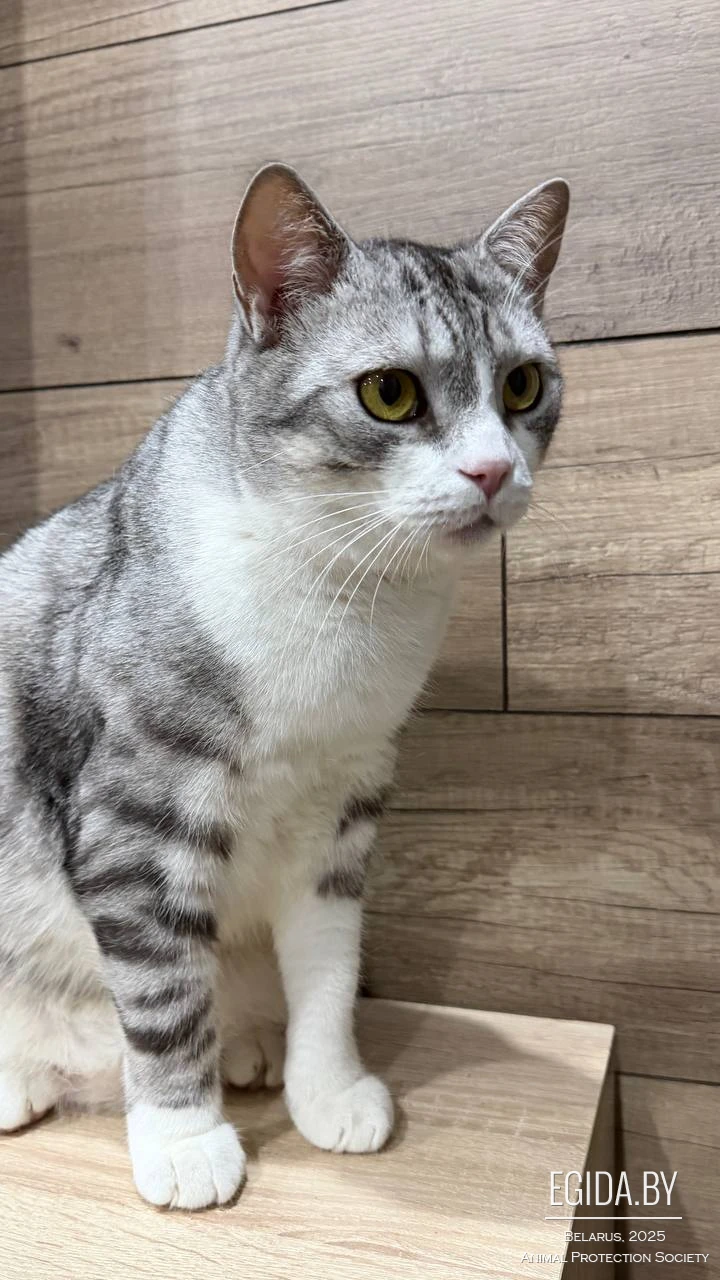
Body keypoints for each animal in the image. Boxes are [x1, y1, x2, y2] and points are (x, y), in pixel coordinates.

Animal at [0, 163, 568, 1210]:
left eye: (522, 384)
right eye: (390, 392)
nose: (492, 469)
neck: (344, 595)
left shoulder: (341, 810)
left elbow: (329, 972)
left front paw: (328, 1091)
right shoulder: (137, 820)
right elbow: (165, 996)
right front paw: (184, 1140)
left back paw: (252, 1044)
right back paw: (24, 1077)